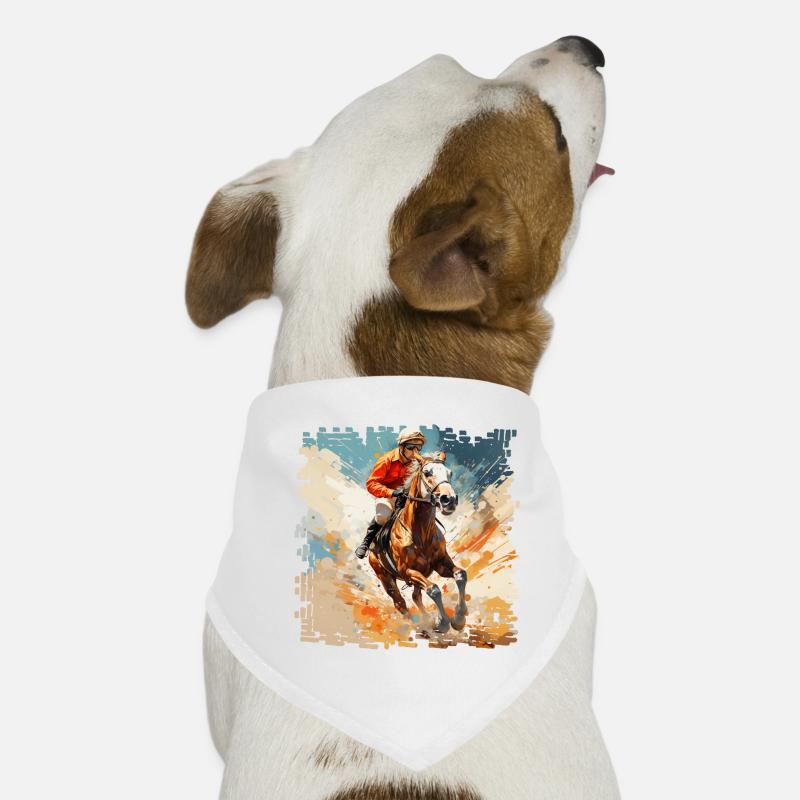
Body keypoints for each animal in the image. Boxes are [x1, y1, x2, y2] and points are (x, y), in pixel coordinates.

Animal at [367, 454, 468, 634]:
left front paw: (458, 618)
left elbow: (460, 575)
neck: (421, 533)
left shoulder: (440, 563)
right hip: (384, 576)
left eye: (449, 473)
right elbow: (434, 589)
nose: (449, 500)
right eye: (427, 472)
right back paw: (417, 626)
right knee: (400, 603)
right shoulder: (408, 571)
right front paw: (442, 623)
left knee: (416, 596)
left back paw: (427, 621)